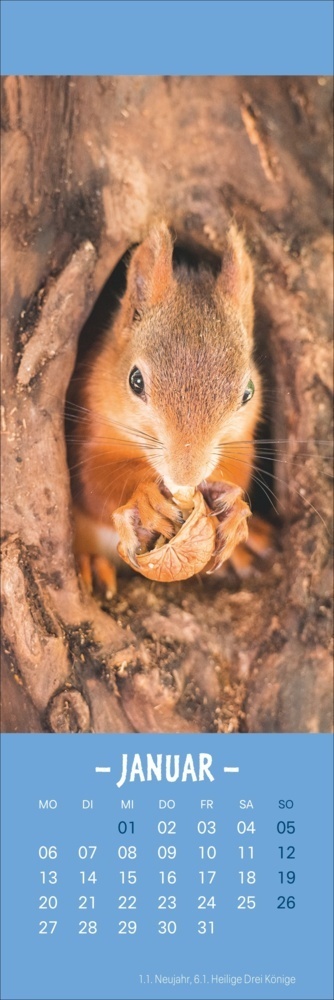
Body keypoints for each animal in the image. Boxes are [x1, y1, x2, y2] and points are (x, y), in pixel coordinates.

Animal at [66, 223, 272, 592]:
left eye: (248, 392)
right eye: (135, 381)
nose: (185, 475)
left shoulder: (241, 442)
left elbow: (238, 472)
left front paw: (234, 510)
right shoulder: (87, 429)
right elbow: (94, 482)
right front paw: (145, 499)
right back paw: (90, 563)